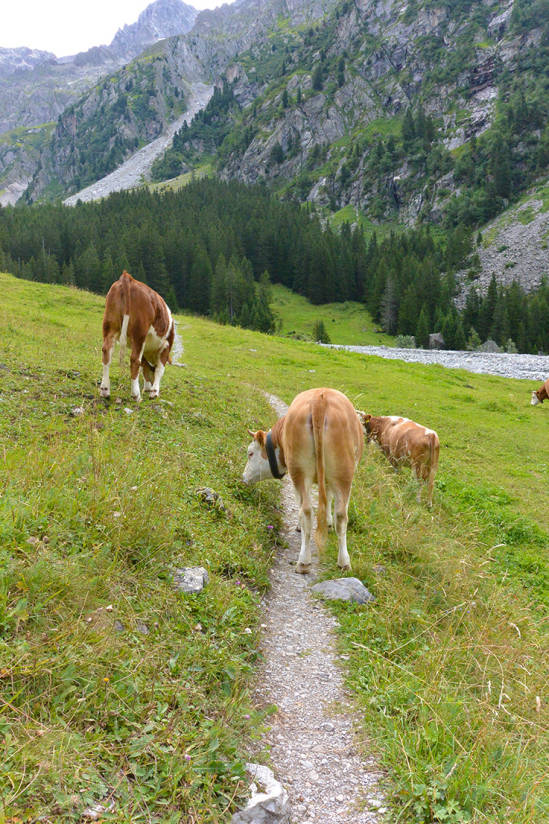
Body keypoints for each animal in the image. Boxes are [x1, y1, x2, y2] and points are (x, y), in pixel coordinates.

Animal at [99, 270, 173, 402]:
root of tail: (128, 278)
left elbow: (145, 367)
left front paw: (148, 387)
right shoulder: (166, 345)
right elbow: (159, 369)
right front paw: (154, 391)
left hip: (109, 325)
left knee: (106, 352)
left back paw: (105, 390)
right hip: (139, 333)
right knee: (134, 360)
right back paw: (136, 395)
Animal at [243, 386, 364, 572]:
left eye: (250, 453)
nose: (243, 477)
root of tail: (320, 398)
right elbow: (329, 498)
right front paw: (328, 522)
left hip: (300, 472)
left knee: (306, 511)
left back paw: (303, 562)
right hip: (343, 473)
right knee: (341, 515)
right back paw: (343, 562)